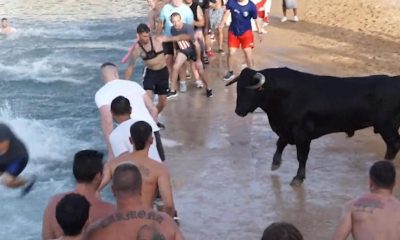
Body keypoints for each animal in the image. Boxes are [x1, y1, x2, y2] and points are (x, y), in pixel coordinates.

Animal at [227, 67, 400, 186]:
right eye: (238, 88)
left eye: (250, 91)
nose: (238, 111)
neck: (284, 95)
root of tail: (393, 80)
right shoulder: (286, 129)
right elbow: (280, 143)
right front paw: (275, 163)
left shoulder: (302, 134)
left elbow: (301, 156)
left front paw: (298, 177)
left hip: (387, 126)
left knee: (394, 145)